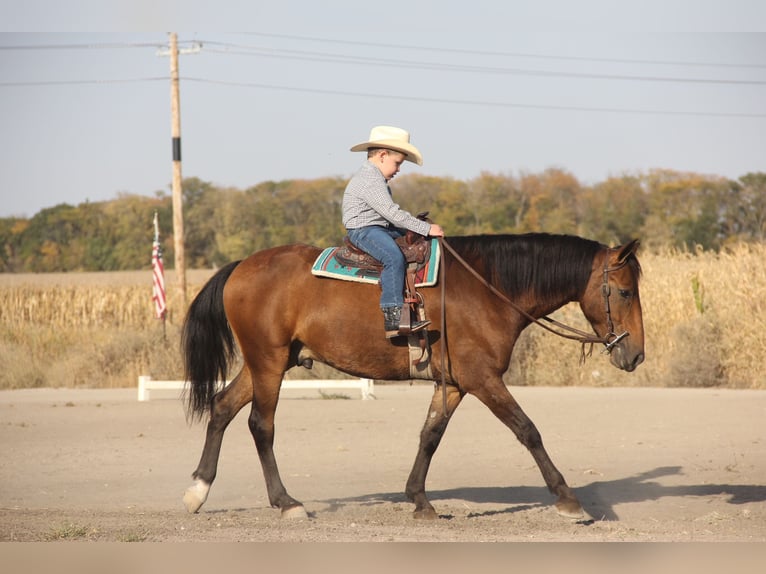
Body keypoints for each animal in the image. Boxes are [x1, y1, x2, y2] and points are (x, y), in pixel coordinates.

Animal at [180, 233, 640, 520]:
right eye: (624, 291)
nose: (635, 354)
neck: (488, 288)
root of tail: (243, 265)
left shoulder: (454, 384)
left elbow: (430, 435)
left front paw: (419, 499)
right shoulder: (483, 379)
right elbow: (528, 430)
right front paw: (567, 498)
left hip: (267, 362)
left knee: (222, 407)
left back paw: (198, 491)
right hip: (269, 363)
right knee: (261, 425)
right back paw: (286, 501)